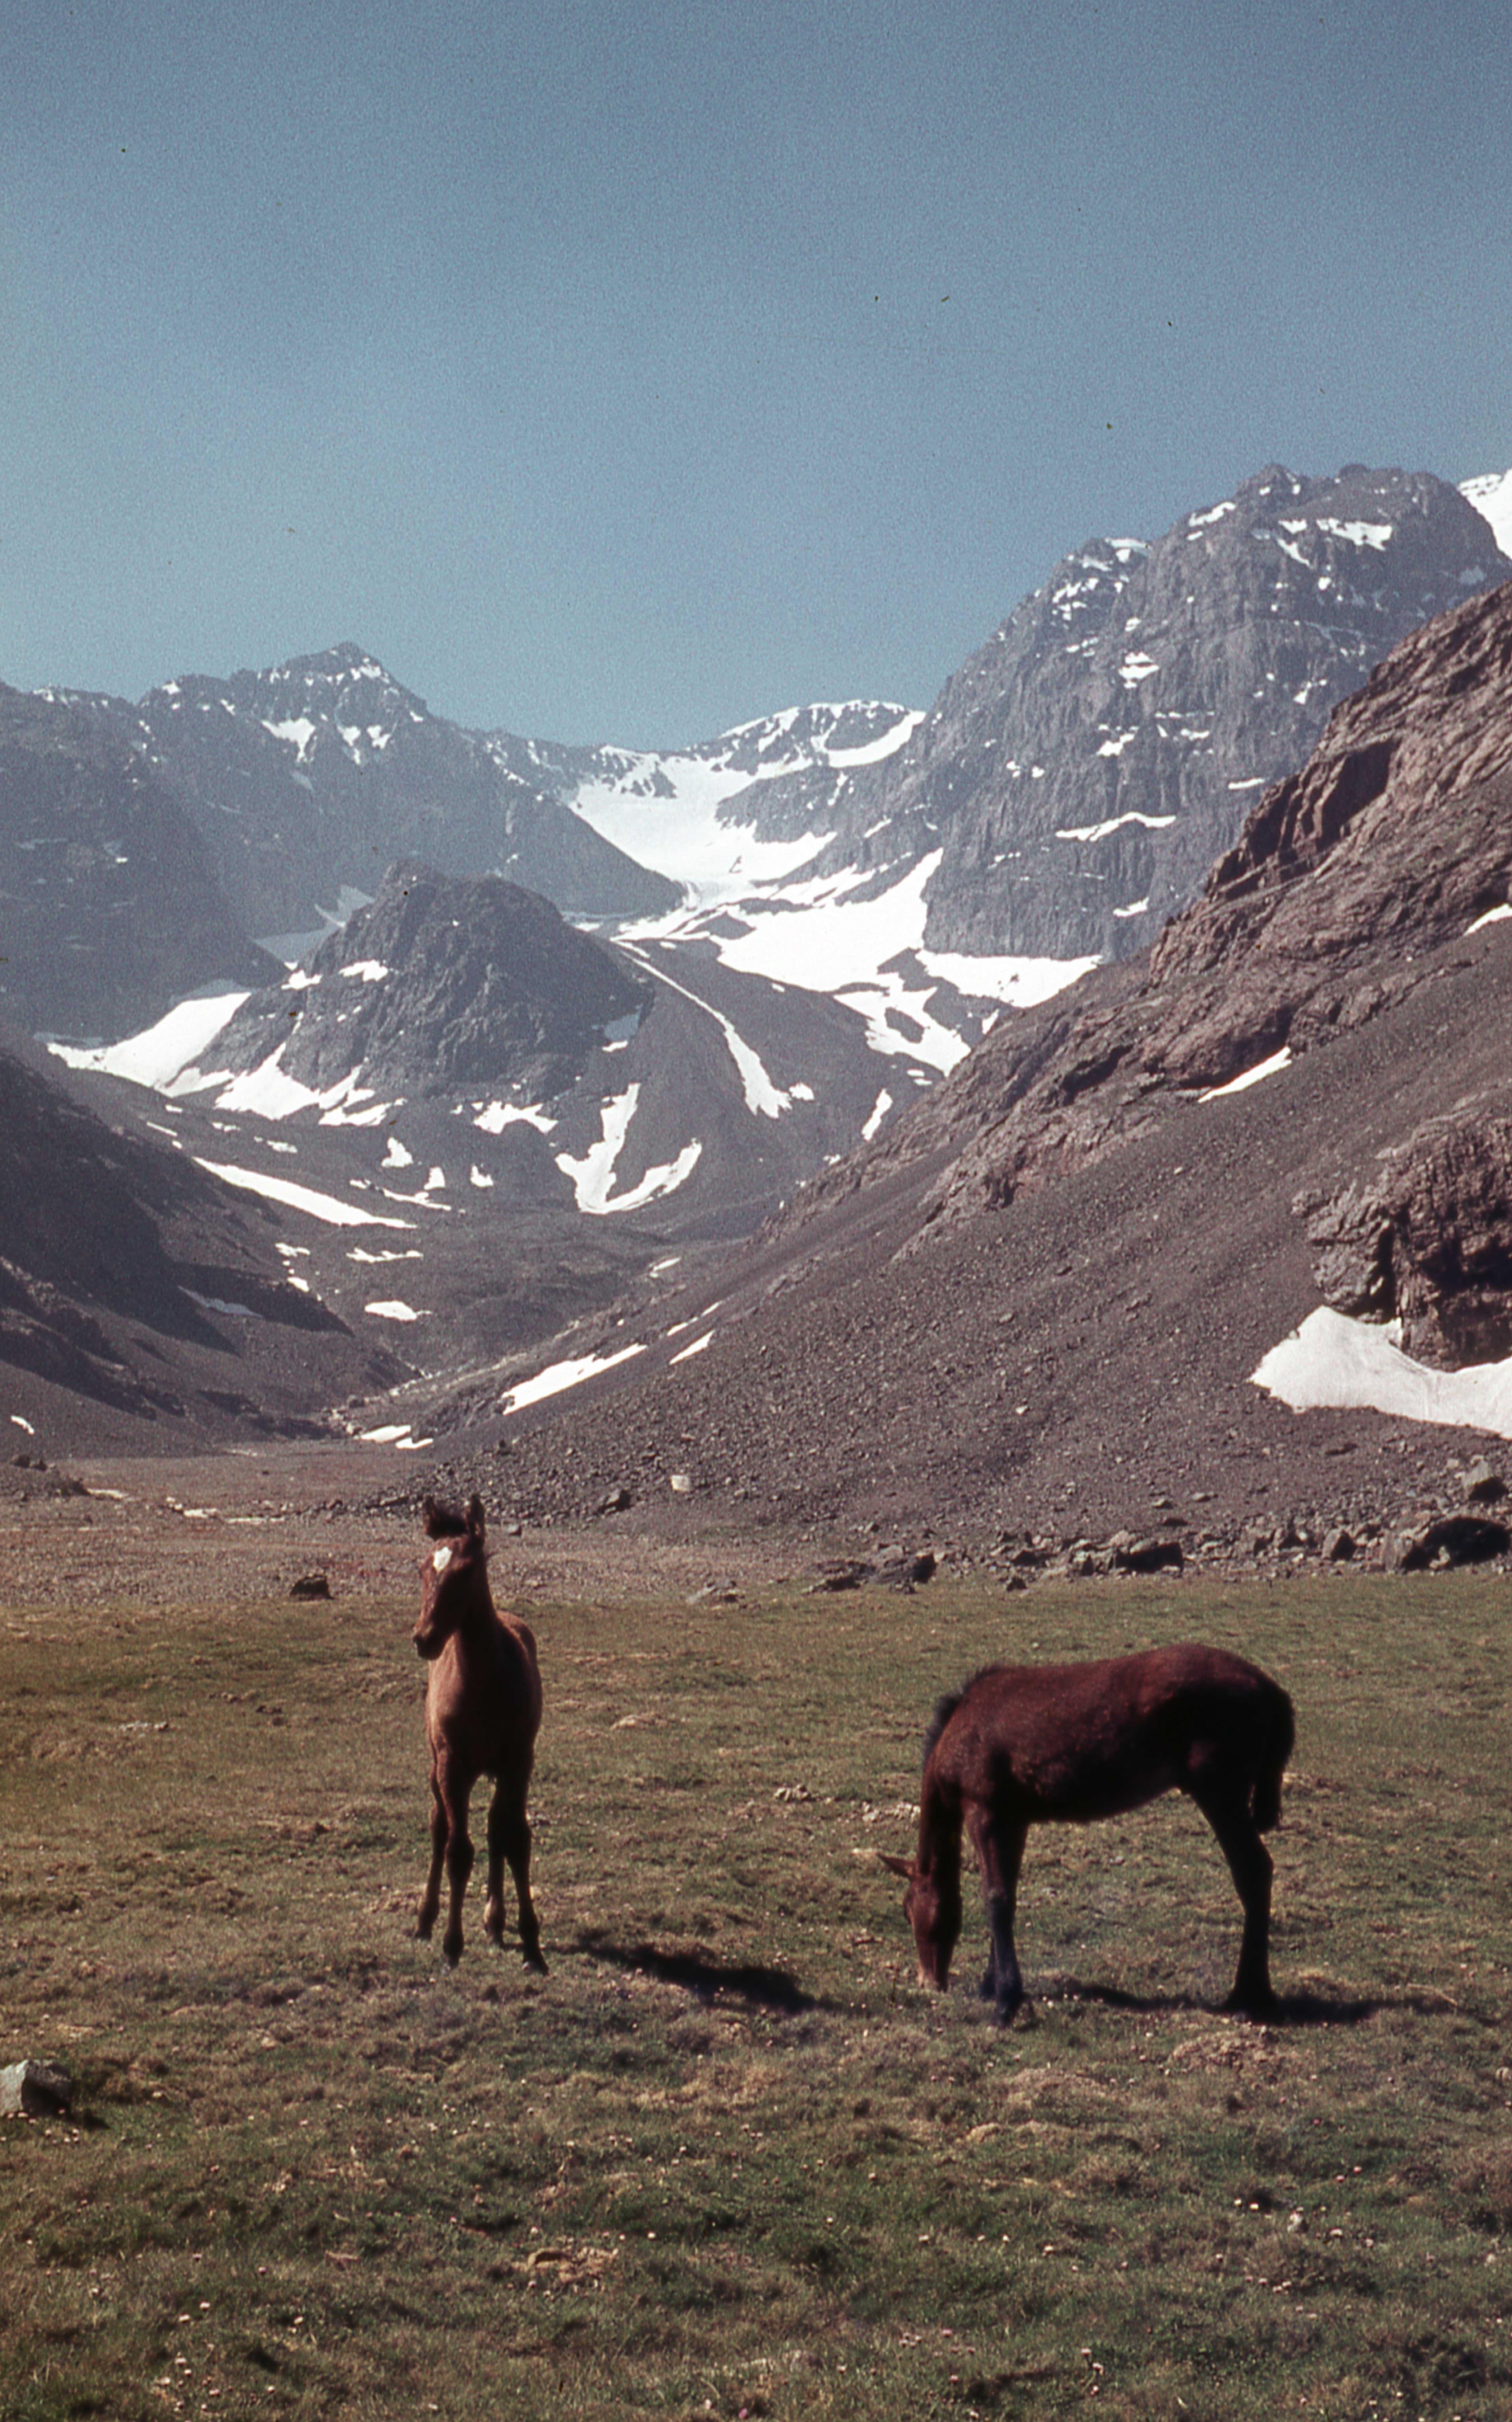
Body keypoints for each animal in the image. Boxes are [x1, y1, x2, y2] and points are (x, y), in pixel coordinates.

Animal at [413, 1492, 546, 1973]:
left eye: (467, 1570)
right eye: (423, 1568)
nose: (424, 1639)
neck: (485, 1684)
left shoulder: (519, 1762)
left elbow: (517, 1841)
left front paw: (531, 1943)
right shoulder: (453, 1767)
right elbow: (458, 1851)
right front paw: (452, 1946)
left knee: (496, 1827)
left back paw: (495, 1922)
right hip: (438, 1767)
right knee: (440, 1827)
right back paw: (425, 1921)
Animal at [882, 1642, 1294, 2021]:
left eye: (907, 1910)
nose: (929, 1981)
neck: (961, 1729)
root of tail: (1270, 1687)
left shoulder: (985, 1813)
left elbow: (995, 1900)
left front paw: (1006, 2001)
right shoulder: (1014, 1820)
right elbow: (1006, 1894)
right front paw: (991, 1985)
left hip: (1220, 1795)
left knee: (1254, 1872)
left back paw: (1248, 1996)